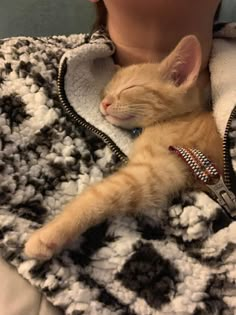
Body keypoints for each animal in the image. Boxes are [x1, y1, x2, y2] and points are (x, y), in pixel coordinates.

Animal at [24, 35, 223, 262]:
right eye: (106, 92)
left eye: (129, 88)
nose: (105, 103)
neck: (175, 119)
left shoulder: (153, 173)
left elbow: (99, 196)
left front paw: (50, 233)